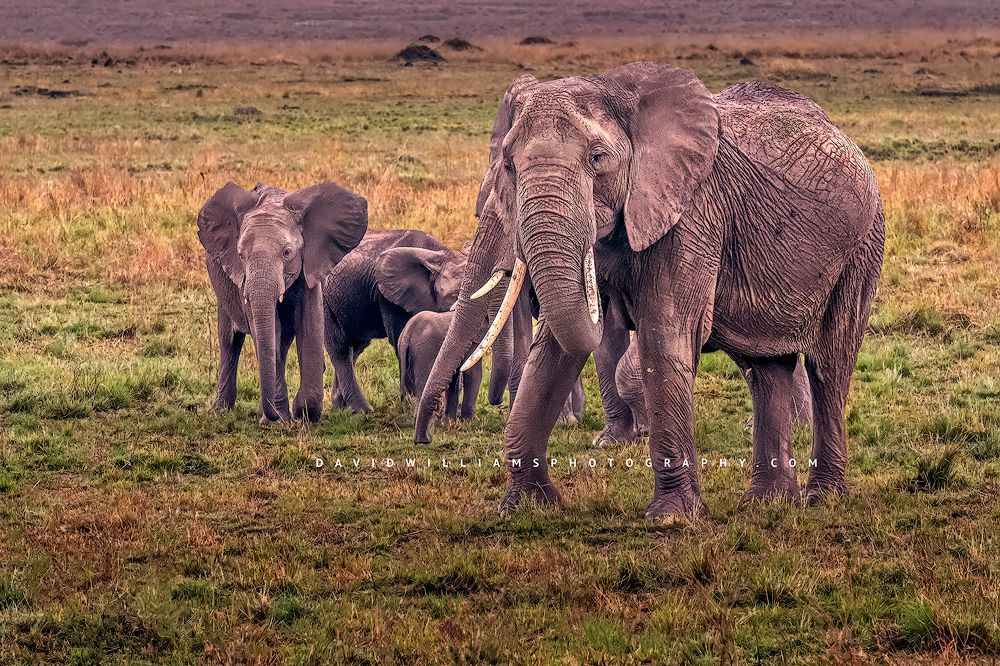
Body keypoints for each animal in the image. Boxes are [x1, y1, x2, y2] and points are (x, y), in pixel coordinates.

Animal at [198, 181, 368, 424]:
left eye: (287, 252)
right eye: (240, 255)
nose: (272, 417)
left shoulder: (311, 265)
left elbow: (310, 323)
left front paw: (304, 414)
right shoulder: (242, 280)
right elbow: (269, 333)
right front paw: (279, 420)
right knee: (230, 341)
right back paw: (220, 412)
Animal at [322, 229, 512, 413]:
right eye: (453, 296)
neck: (440, 255)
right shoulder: (388, 297)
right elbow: (400, 338)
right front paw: (410, 406)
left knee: (356, 347)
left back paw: (341, 407)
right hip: (324, 299)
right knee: (341, 348)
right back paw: (362, 410)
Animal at [464, 62, 883, 519]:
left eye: (598, 158)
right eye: (508, 164)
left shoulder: (693, 213)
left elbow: (665, 337)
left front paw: (670, 518)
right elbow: (554, 351)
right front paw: (525, 507)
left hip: (861, 247)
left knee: (829, 365)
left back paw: (822, 497)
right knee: (765, 369)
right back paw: (766, 502)